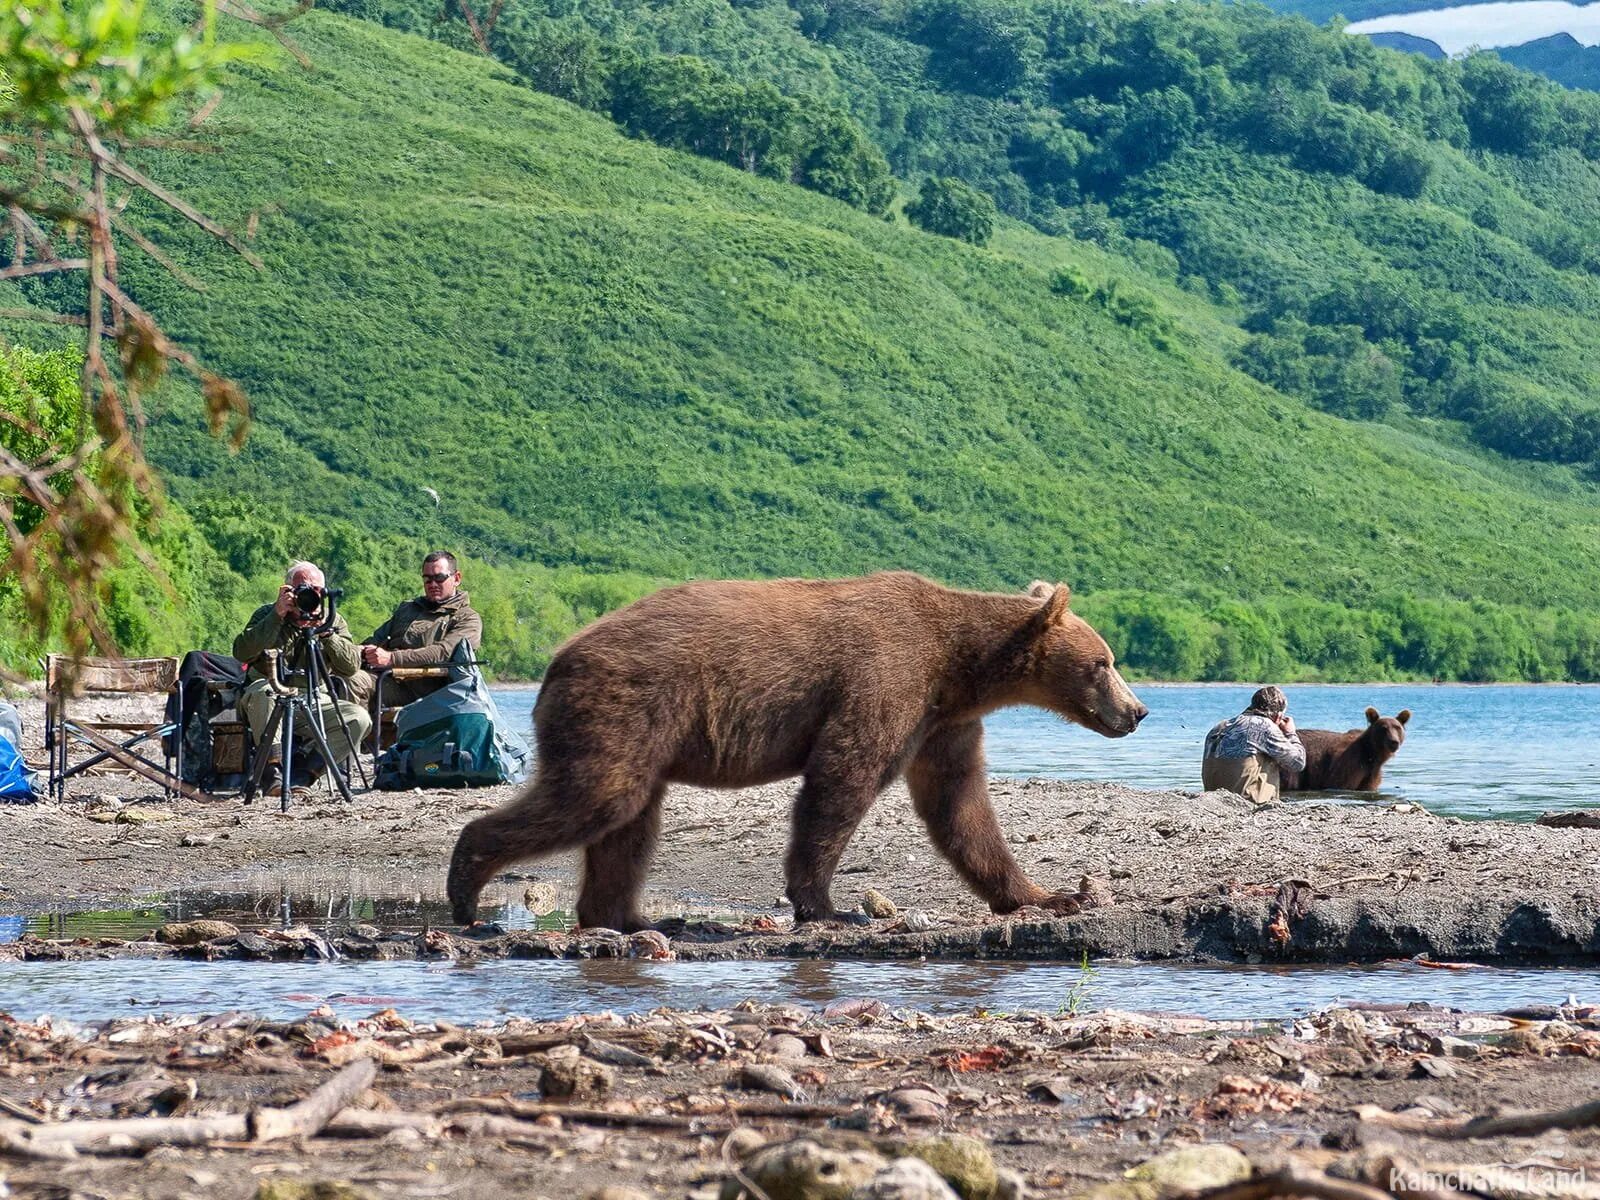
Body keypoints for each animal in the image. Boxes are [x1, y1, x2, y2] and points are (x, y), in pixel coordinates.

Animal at [448, 572, 1152, 928]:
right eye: (1104, 662)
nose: (1138, 711)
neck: (961, 668)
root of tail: (556, 660)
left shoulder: (942, 720)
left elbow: (961, 805)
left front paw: (1048, 895)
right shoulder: (885, 677)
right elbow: (842, 779)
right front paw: (826, 905)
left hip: (641, 733)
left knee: (628, 824)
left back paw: (631, 919)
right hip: (623, 708)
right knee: (595, 799)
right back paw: (467, 885)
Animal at [1280, 710, 1408, 793]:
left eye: (1398, 728)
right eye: (1383, 728)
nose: (1394, 742)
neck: (1371, 754)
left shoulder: (1371, 773)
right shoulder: (1349, 764)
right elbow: (1340, 783)